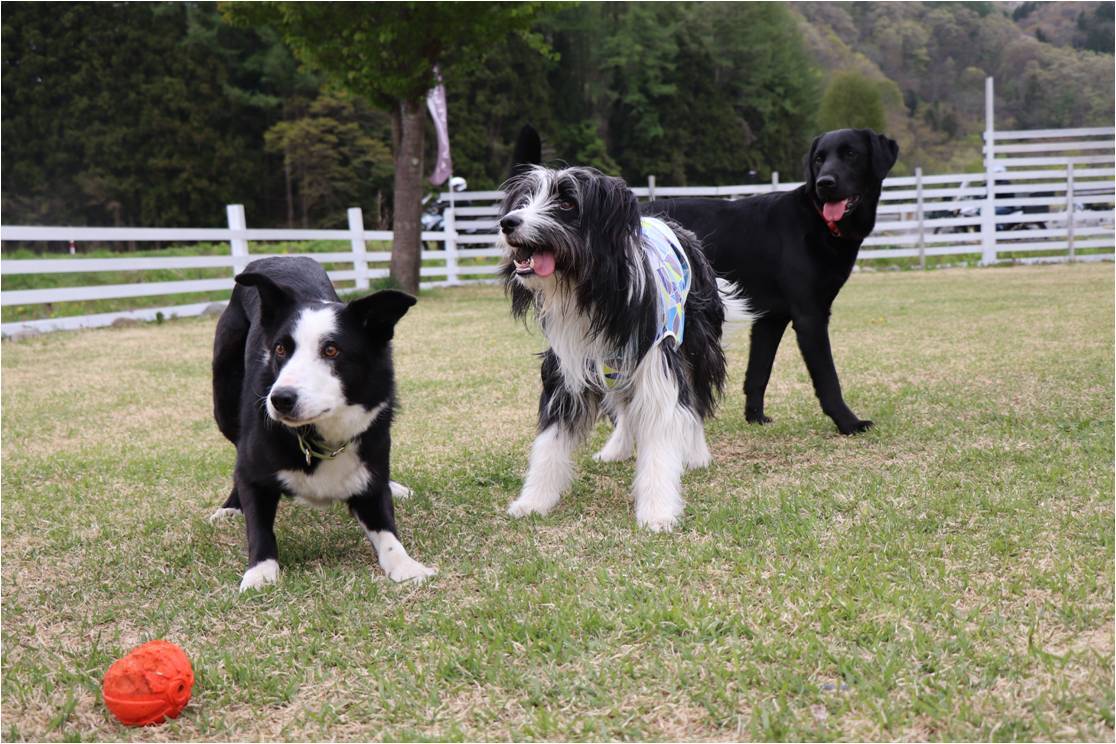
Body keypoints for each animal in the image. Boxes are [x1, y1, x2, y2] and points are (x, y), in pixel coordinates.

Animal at [499, 166, 749, 533]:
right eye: (525, 200)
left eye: (567, 202)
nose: (508, 222)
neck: (590, 291)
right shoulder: (567, 367)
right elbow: (550, 441)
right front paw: (534, 500)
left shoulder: (658, 361)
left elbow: (661, 434)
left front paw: (658, 511)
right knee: (626, 408)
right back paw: (616, 449)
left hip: (698, 344)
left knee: (697, 398)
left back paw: (695, 452)